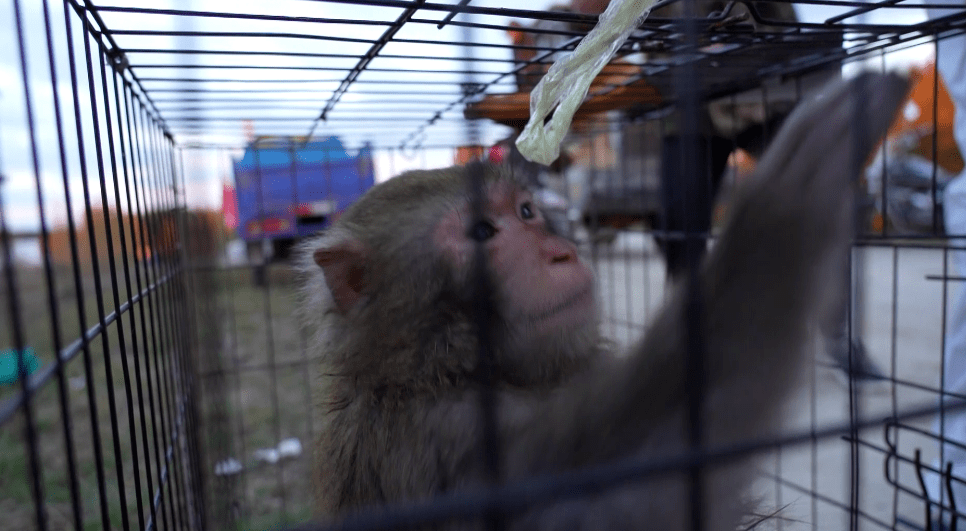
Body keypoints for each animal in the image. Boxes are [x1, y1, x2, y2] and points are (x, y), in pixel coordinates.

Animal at [298, 71, 912, 531]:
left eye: (526, 212)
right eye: (480, 233)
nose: (560, 253)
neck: (442, 368)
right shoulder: (446, 441)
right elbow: (633, 490)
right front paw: (783, 212)